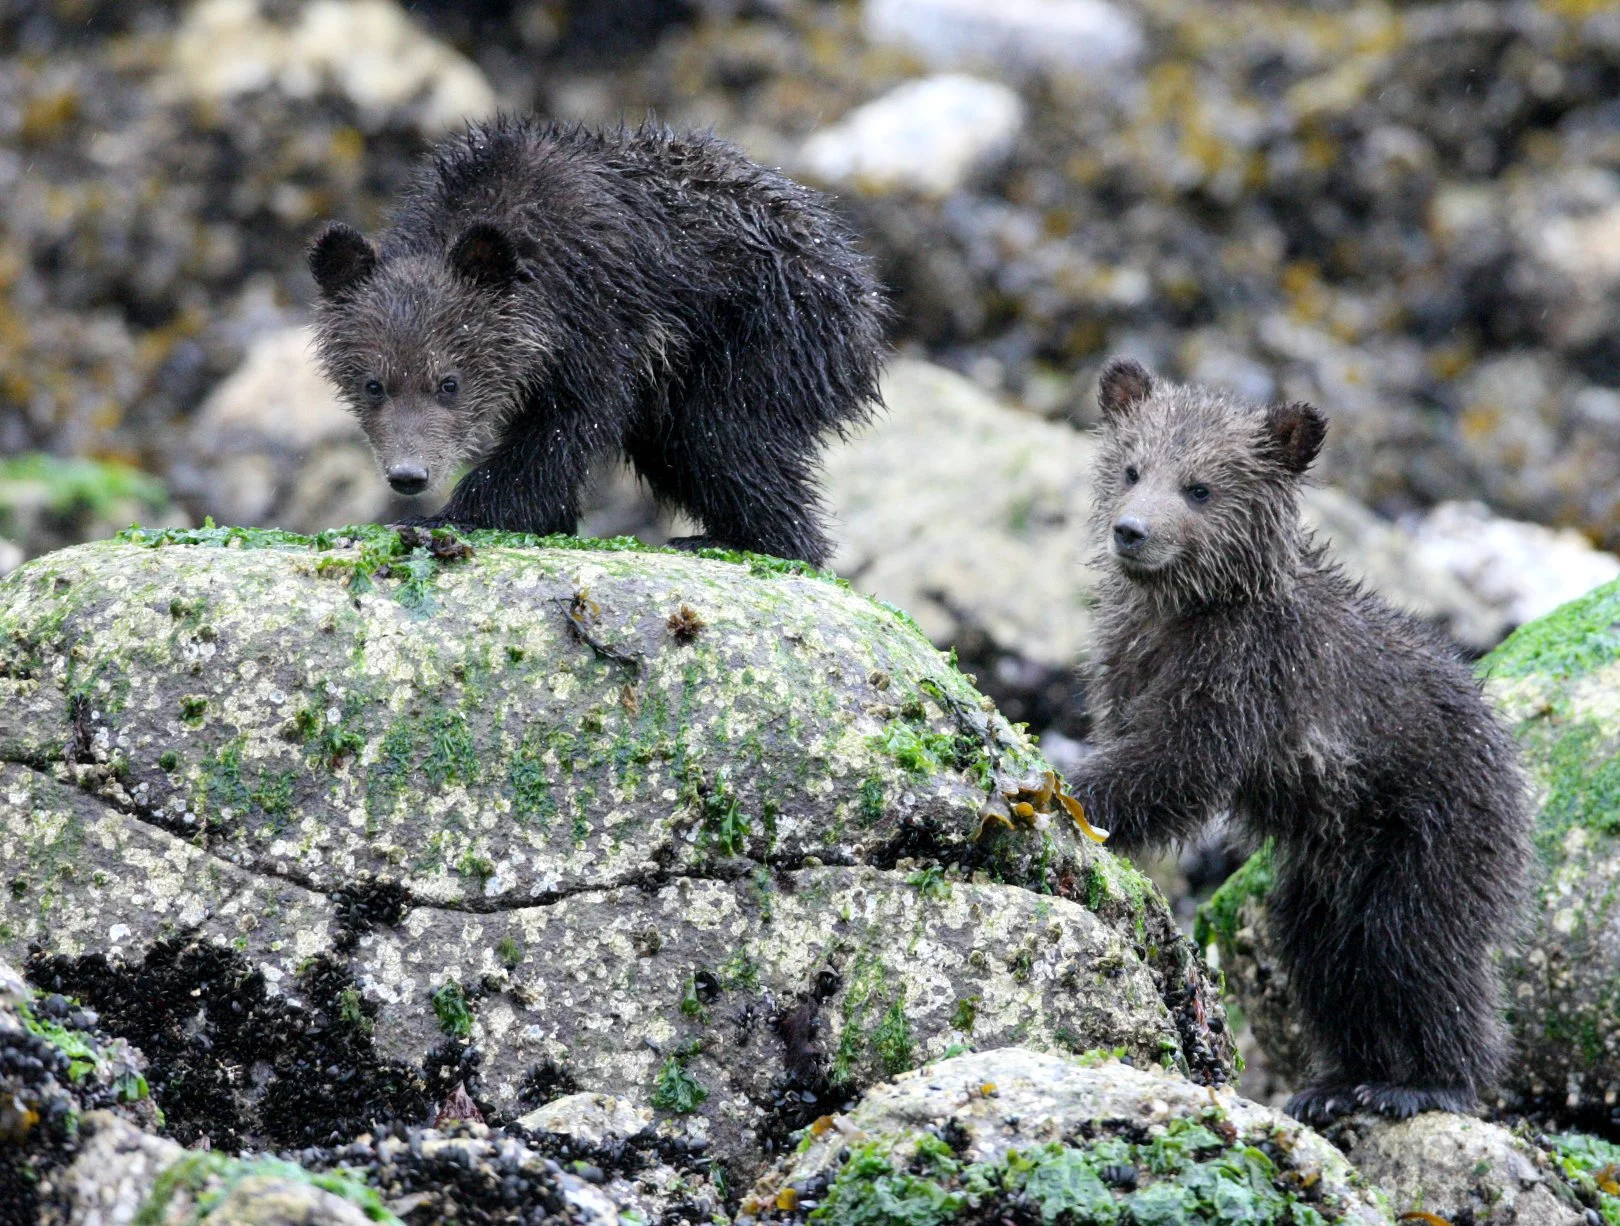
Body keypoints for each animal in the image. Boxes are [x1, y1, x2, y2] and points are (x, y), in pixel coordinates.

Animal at [307, 117, 888, 566]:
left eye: (449, 382)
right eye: (373, 384)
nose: (409, 474)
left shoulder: (601, 312)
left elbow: (564, 428)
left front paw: (460, 516)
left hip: (769, 335)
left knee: (725, 433)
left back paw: (758, 542)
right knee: (679, 446)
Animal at [1068, 358, 1530, 1124]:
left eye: (1200, 487)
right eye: (1133, 468)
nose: (1131, 531)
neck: (1193, 607)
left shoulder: (1245, 674)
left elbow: (1177, 762)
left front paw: (1058, 787)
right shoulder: (1127, 660)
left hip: (1436, 820)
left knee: (1420, 944)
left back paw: (1431, 1081)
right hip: (1332, 863)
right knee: (1323, 954)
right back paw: (1336, 1080)